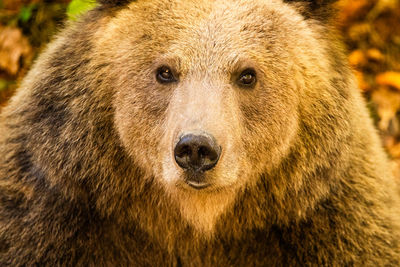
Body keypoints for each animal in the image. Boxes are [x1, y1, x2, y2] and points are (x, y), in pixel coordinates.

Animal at [0, 0, 400, 266]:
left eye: (247, 74)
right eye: (165, 70)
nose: (196, 148)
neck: (197, 222)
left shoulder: (329, 222)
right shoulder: (57, 208)